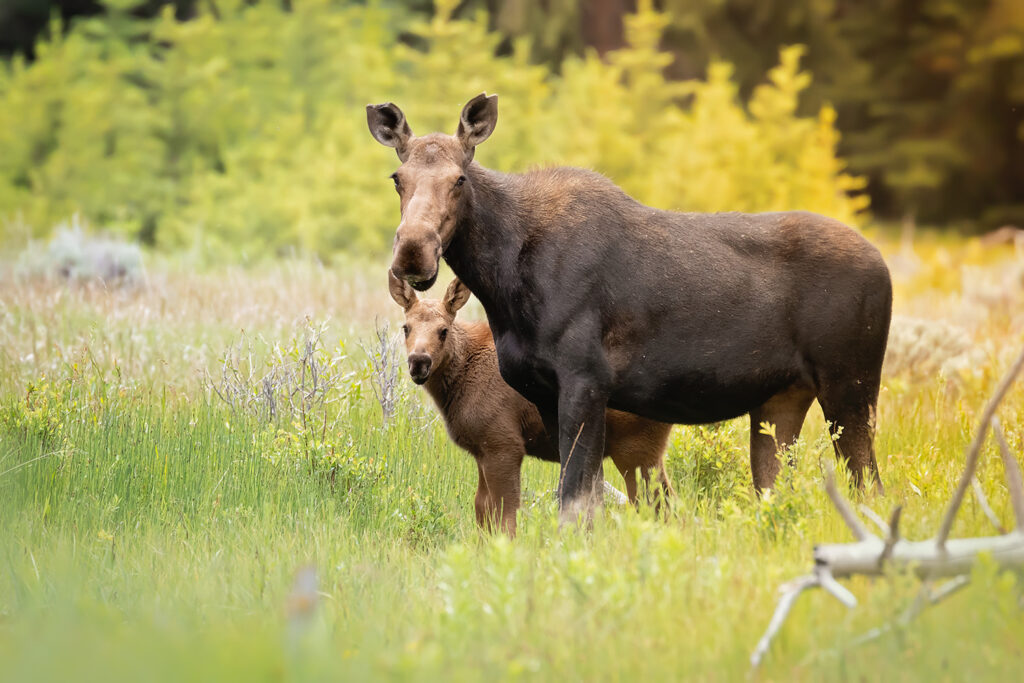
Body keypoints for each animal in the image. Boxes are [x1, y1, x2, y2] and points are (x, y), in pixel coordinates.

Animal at [389, 272, 673, 536]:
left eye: (443, 330)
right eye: (406, 327)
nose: (419, 362)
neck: (458, 384)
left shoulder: (504, 444)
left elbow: (505, 514)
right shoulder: (481, 449)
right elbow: (482, 508)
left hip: (635, 447)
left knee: (654, 504)